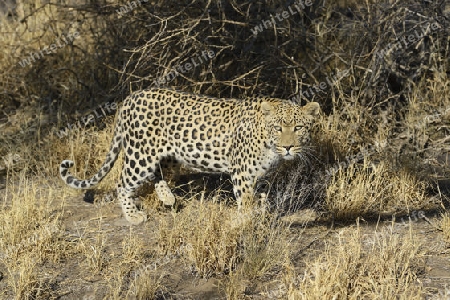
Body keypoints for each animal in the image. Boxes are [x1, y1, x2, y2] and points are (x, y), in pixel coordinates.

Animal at [59, 88, 320, 224]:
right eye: (278, 128)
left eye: (298, 128)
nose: (288, 147)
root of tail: (131, 97)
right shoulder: (242, 173)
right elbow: (246, 201)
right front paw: (246, 222)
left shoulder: (261, 177)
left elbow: (262, 199)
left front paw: (261, 216)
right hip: (140, 155)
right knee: (122, 183)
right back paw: (134, 215)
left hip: (166, 155)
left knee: (158, 173)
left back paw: (167, 198)